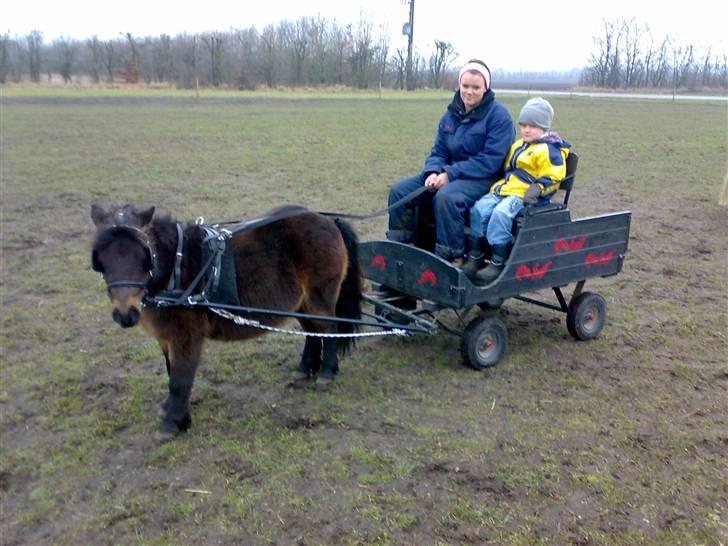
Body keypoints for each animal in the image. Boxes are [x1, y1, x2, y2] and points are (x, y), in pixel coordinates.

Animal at [89, 202, 362, 440]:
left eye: (144, 254)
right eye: (101, 258)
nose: (125, 314)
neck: (176, 267)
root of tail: (329, 221)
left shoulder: (187, 337)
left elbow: (179, 380)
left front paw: (173, 423)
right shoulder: (166, 337)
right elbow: (170, 372)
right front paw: (171, 409)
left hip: (319, 300)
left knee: (330, 330)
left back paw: (326, 371)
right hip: (301, 305)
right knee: (312, 333)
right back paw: (306, 368)